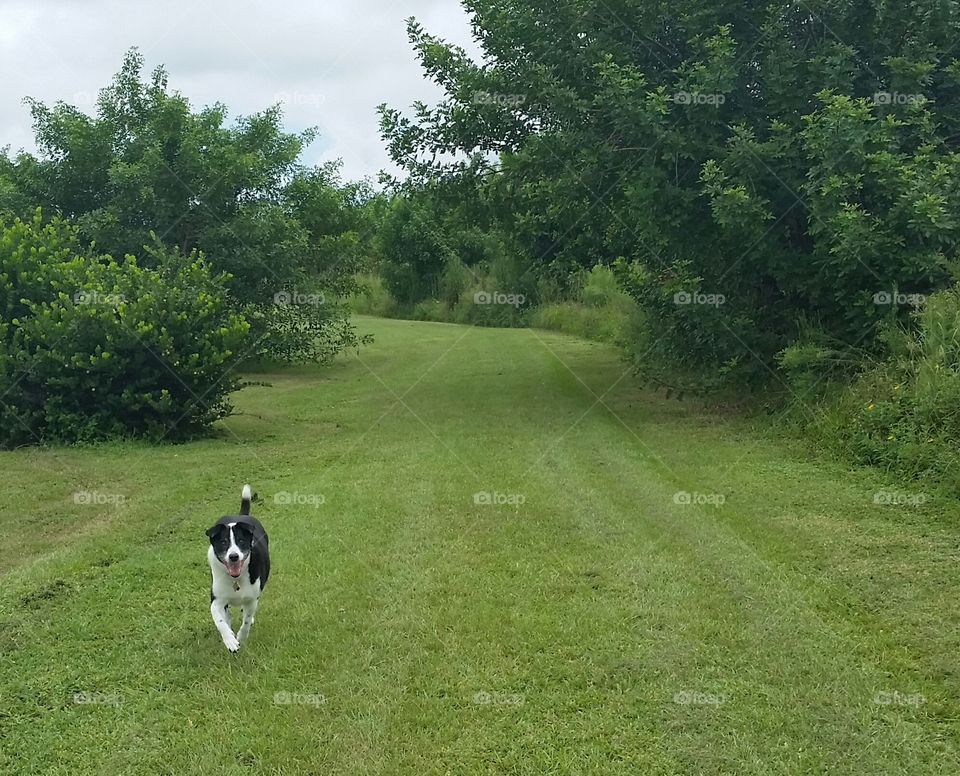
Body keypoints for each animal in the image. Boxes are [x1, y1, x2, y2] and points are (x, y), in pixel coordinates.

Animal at [206, 488, 270, 652]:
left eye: (241, 541)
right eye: (223, 542)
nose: (233, 556)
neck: (236, 578)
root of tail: (241, 515)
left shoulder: (252, 599)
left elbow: (246, 620)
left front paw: (241, 636)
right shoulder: (216, 600)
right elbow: (220, 620)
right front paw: (230, 640)